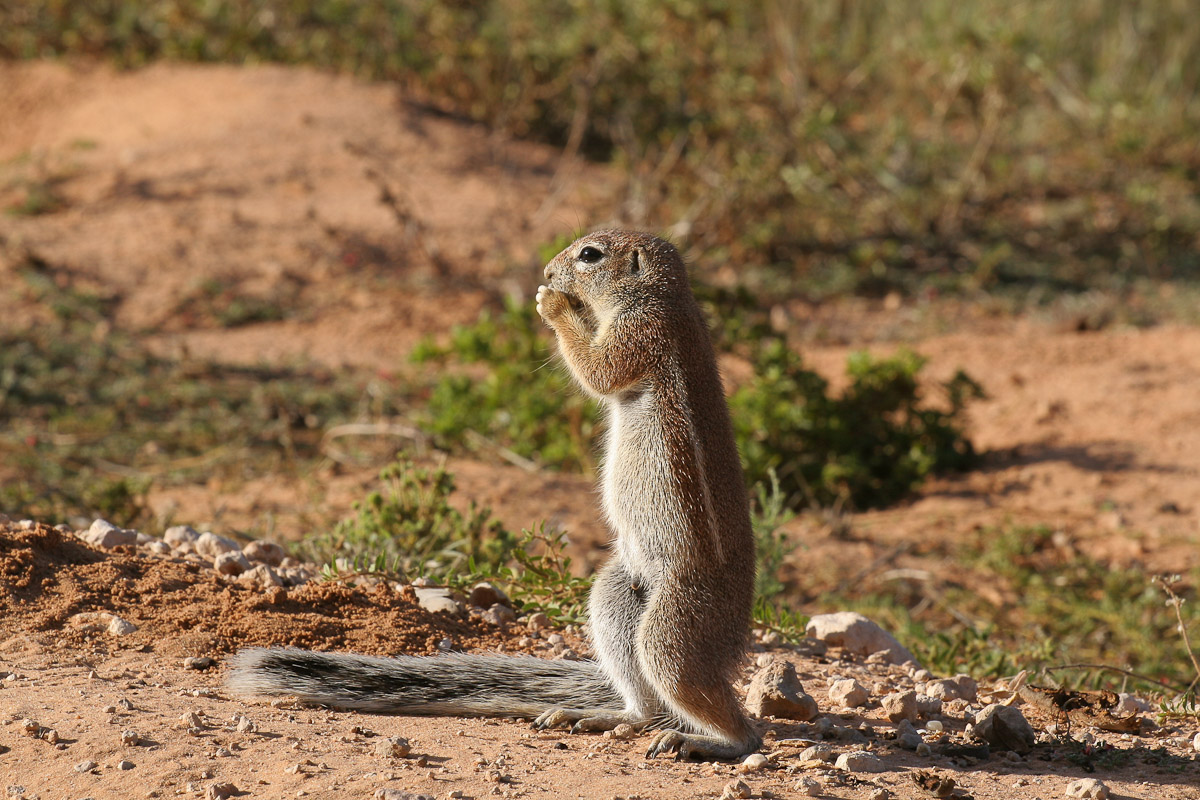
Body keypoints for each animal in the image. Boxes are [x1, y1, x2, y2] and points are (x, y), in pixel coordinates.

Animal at [228, 229, 761, 761]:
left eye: (590, 255)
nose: (547, 271)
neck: (665, 298)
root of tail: (734, 637)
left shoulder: (640, 332)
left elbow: (599, 371)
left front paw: (552, 303)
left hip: (675, 623)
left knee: (732, 722)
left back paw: (700, 740)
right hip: (616, 595)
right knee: (644, 702)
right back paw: (603, 717)